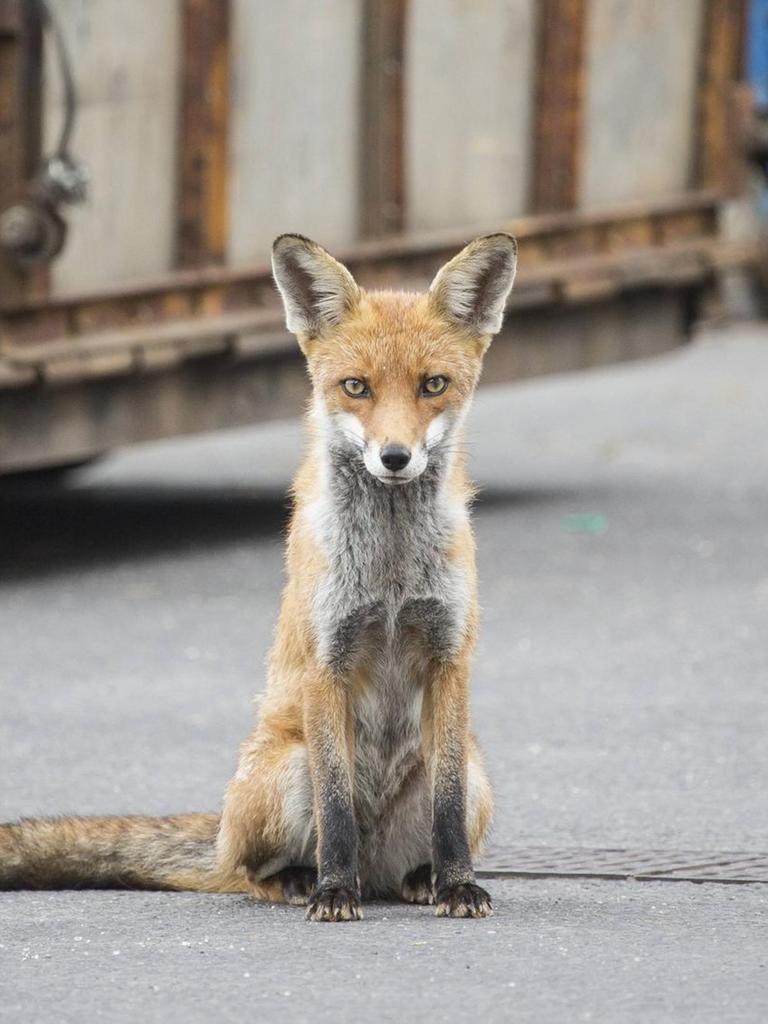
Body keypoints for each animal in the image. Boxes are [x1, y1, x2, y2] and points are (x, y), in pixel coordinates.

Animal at [0, 231, 517, 921]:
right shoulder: (328, 661)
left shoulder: (448, 654)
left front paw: (458, 883)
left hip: (475, 775)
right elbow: (334, 803)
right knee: (257, 867)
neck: (390, 574)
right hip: (284, 772)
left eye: (433, 384)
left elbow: (448, 805)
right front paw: (332, 893)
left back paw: (422, 877)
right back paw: (307, 879)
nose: (394, 457)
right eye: (356, 387)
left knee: (424, 831)